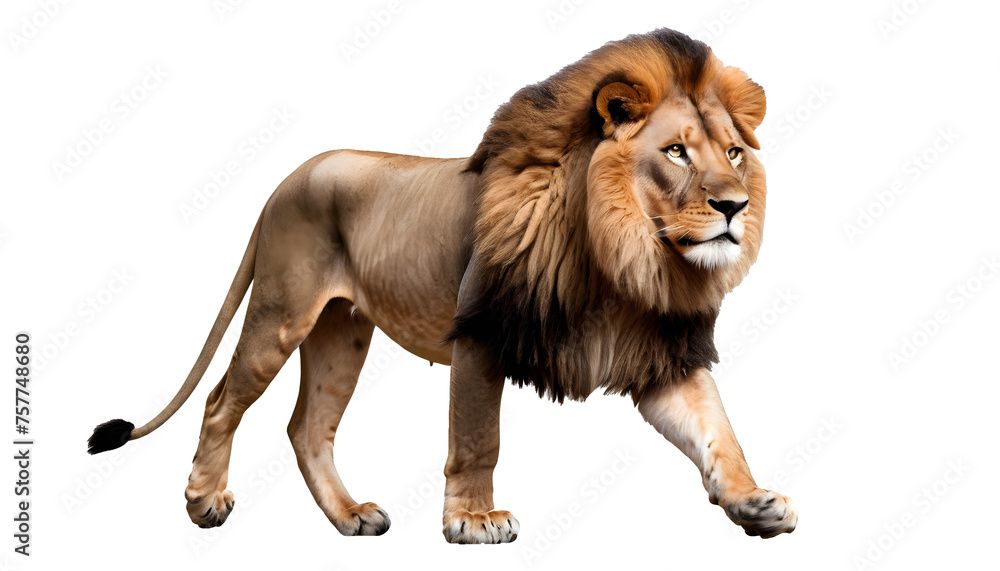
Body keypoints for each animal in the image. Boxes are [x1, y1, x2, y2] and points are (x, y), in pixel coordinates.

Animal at [88, 28, 797, 542]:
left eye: (733, 152)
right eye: (676, 152)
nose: (734, 206)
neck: (622, 260)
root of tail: (286, 180)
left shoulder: (662, 358)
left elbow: (720, 432)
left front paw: (755, 503)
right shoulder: (479, 332)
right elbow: (479, 437)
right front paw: (474, 520)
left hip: (341, 334)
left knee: (307, 427)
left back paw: (350, 516)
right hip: (282, 312)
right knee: (220, 402)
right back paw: (203, 502)